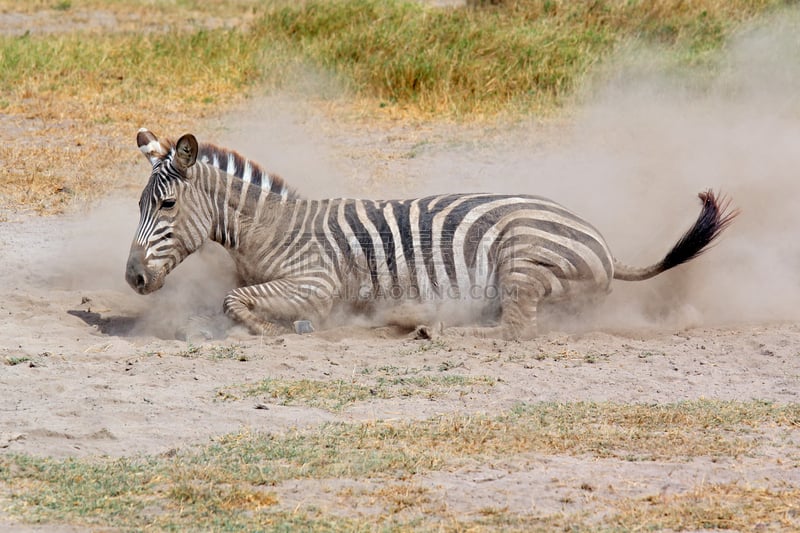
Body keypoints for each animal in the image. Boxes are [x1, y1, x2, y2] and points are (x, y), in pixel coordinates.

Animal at [123, 127, 736, 338]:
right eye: (139, 205)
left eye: (168, 204)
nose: (132, 279)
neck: (270, 231)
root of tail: (602, 239)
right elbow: (224, 299)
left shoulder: (318, 283)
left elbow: (237, 301)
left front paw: (274, 327)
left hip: (521, 258)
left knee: (515, 330)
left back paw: (432, 328)